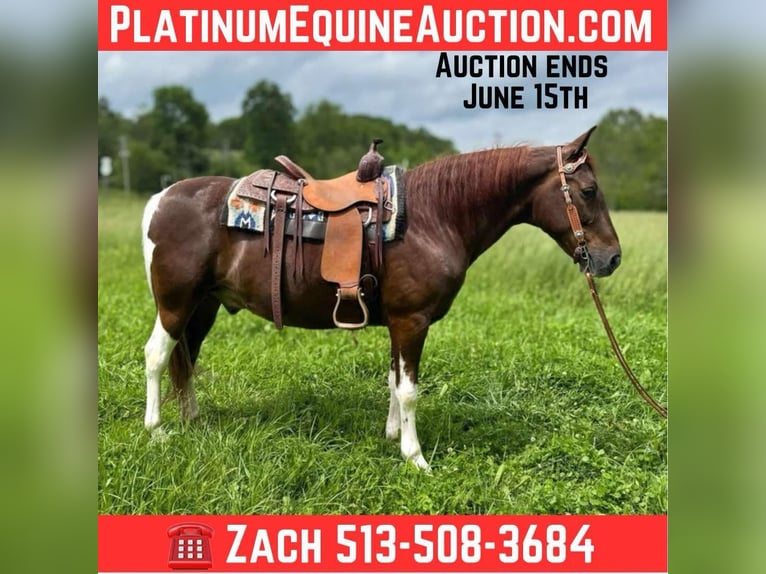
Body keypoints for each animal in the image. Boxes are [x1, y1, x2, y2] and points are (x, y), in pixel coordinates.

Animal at [141, 127, 620, 471]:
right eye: (589, 191)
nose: (612, 257)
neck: (432, 217)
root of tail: (160, 198)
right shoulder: (412, 320)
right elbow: (409, 390)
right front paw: (415, 457)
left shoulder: (397, 322)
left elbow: (393, 381)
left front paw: (392, 437)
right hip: (175, 304)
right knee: (157, 356)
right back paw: (157, 430)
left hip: (204, 305)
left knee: (186, 358)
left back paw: (192, 421)